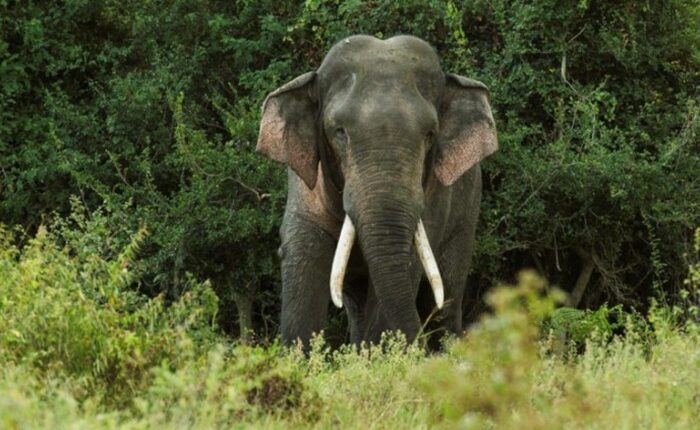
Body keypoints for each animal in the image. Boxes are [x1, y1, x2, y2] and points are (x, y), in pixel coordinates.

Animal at [256, 35, 498, 347]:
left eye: (430, 134)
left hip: (467, 212)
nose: (415, 343)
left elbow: (407, 263)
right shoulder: (306, 187)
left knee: (444, 300)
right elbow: (303, 252)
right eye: (339, 132)